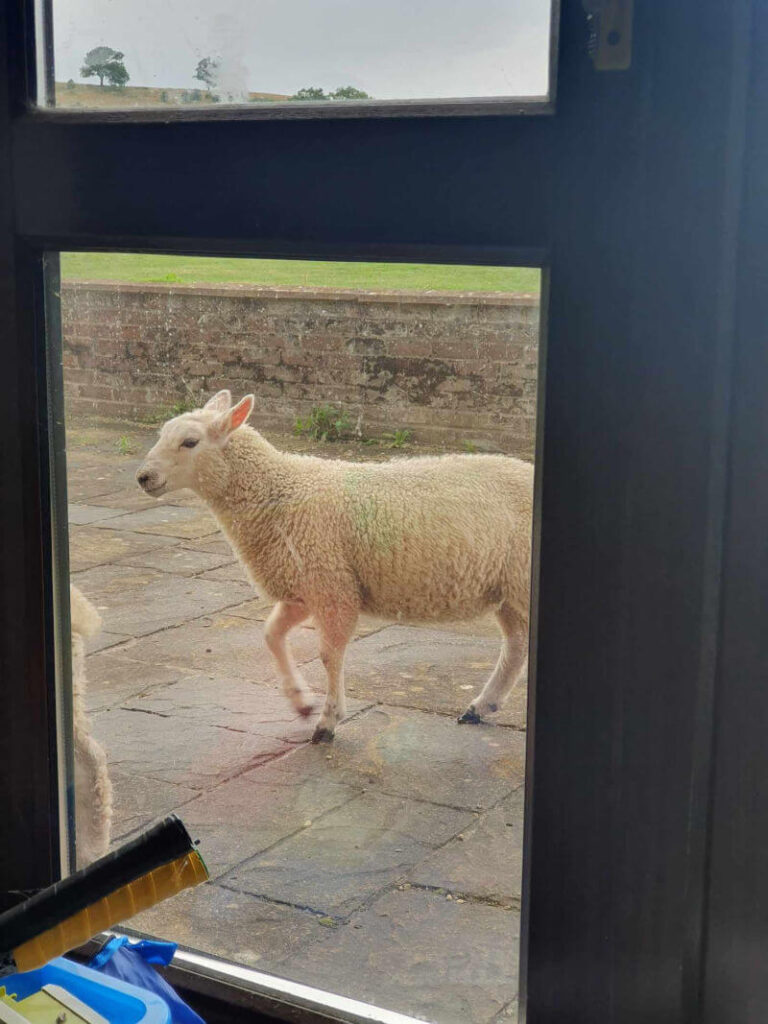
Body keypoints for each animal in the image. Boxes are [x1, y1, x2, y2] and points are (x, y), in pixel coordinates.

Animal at [137, 387, 536, 741]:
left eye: (190, 442)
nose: (143, 478)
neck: (279, 492)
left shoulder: (332, 585)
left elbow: (329, 655)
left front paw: (328, 721)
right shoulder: (305, 584)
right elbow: (271, 634)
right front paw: (300, 701)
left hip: (521, 579)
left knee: (518, 644)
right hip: (509, 588)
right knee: (516, 646)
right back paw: (481, 706)